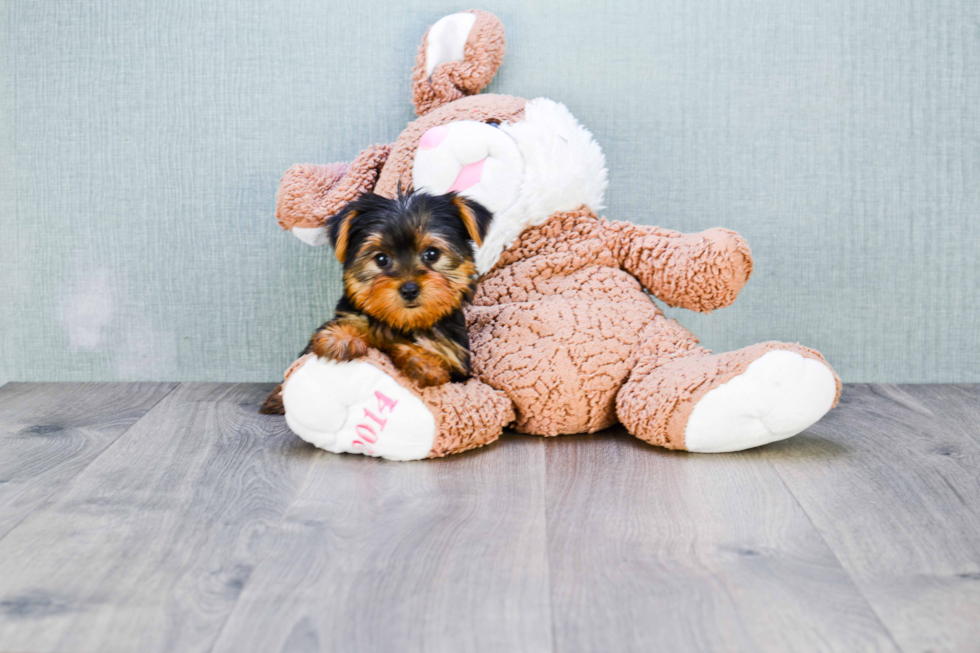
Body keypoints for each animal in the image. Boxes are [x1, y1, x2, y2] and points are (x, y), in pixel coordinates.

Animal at [258, 188, 490, 412]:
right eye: (381, 259)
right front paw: (341, 338)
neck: (404, 321)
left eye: (432, 254)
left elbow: (405, 347)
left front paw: (424, 364)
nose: (409, 289)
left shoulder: (455, 363)